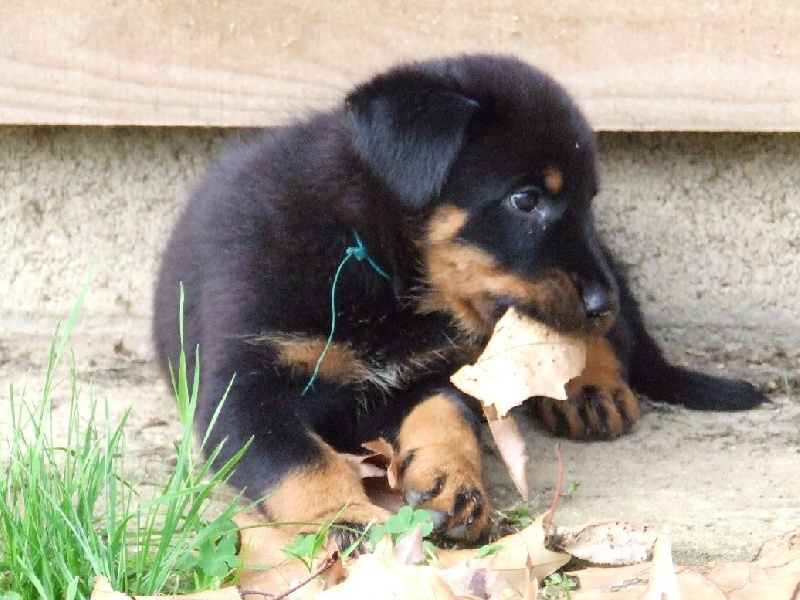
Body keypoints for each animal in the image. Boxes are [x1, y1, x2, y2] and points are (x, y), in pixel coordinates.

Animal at [153, 54, 764, 548]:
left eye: (588, 200)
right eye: (526, 199)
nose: (603, 302)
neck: (370, 258)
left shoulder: (427, 374)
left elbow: (448, 418)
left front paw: (454, 485)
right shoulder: (240, 393)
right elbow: (299, 461)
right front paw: (345, 520)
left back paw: (590, 387)